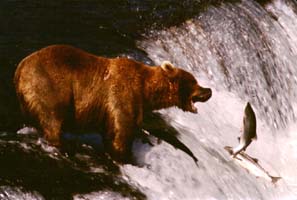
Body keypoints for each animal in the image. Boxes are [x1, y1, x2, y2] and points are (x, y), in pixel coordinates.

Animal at [13, 44, 212, 162]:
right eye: (194, 82)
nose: (209, 91)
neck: (145, 90)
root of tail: (20, 68)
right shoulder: (122, 95)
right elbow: (121, 131)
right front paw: (124, 155)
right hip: (49, 87)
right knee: (52, 119)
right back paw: (63, 145)